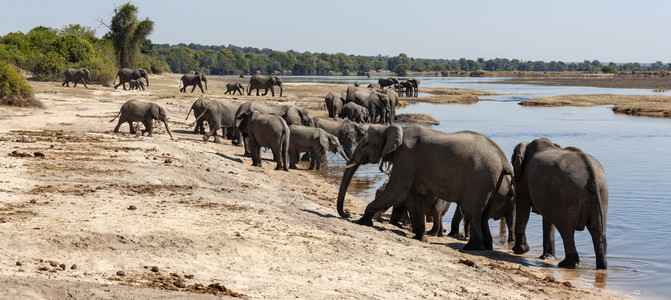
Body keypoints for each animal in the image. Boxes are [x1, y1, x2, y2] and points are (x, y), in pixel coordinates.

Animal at [336, 124, 516, 248]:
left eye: (366, 144)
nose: (347, 213)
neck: (392, 128)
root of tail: (504, 161)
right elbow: (416, 198)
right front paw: (420, 238)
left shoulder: (406, 158)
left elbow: (397, 191)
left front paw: (361, 221)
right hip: (492, 181)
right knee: (484, 215)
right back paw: (485, 247)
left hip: (480, 179)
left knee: (473, 212)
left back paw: (471, 248)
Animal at [516, 138, 608, 270]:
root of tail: (592, 175)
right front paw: (545, 257)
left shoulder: (524, 177)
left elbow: (523, 208)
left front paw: (520, 251)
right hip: (601, 193)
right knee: (597, 230)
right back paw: (601, 267)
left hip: (568, 196)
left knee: (566, 230)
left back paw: (566, 264)